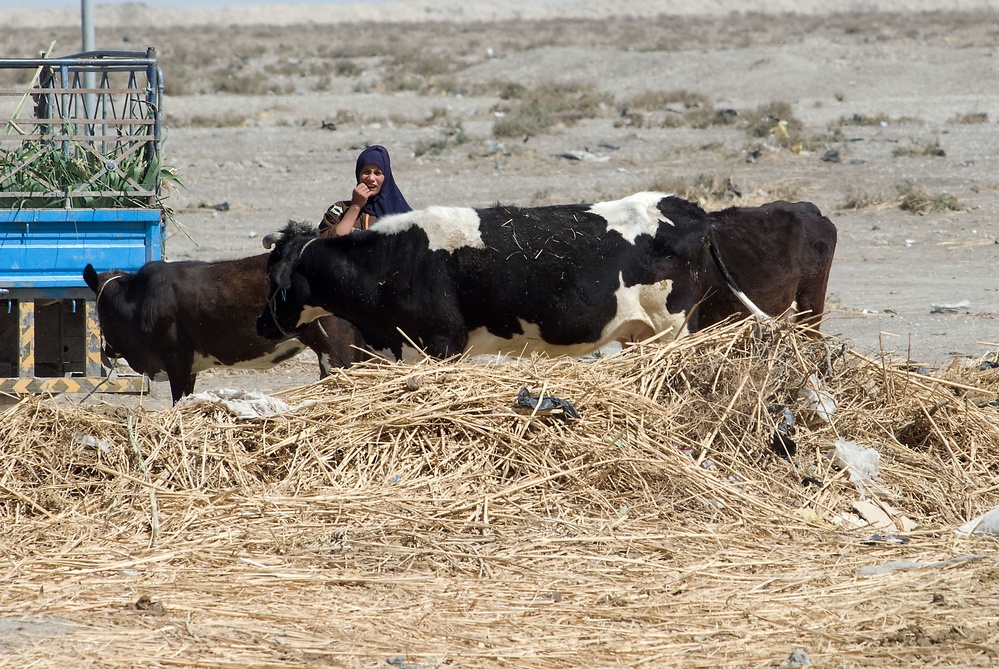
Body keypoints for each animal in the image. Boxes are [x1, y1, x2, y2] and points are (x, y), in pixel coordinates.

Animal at [84, 254, 368, 402]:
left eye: (101, 311)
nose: (108, 349)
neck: (140, 299)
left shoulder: (177, 360)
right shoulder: (190, 366)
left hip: (335, 349)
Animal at [252, 190, 812, 362]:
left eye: (274, 277)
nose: (260, 324)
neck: (394, 260)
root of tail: (687, 206)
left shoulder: (442, 342)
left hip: (671, 325)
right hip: (641, 333)